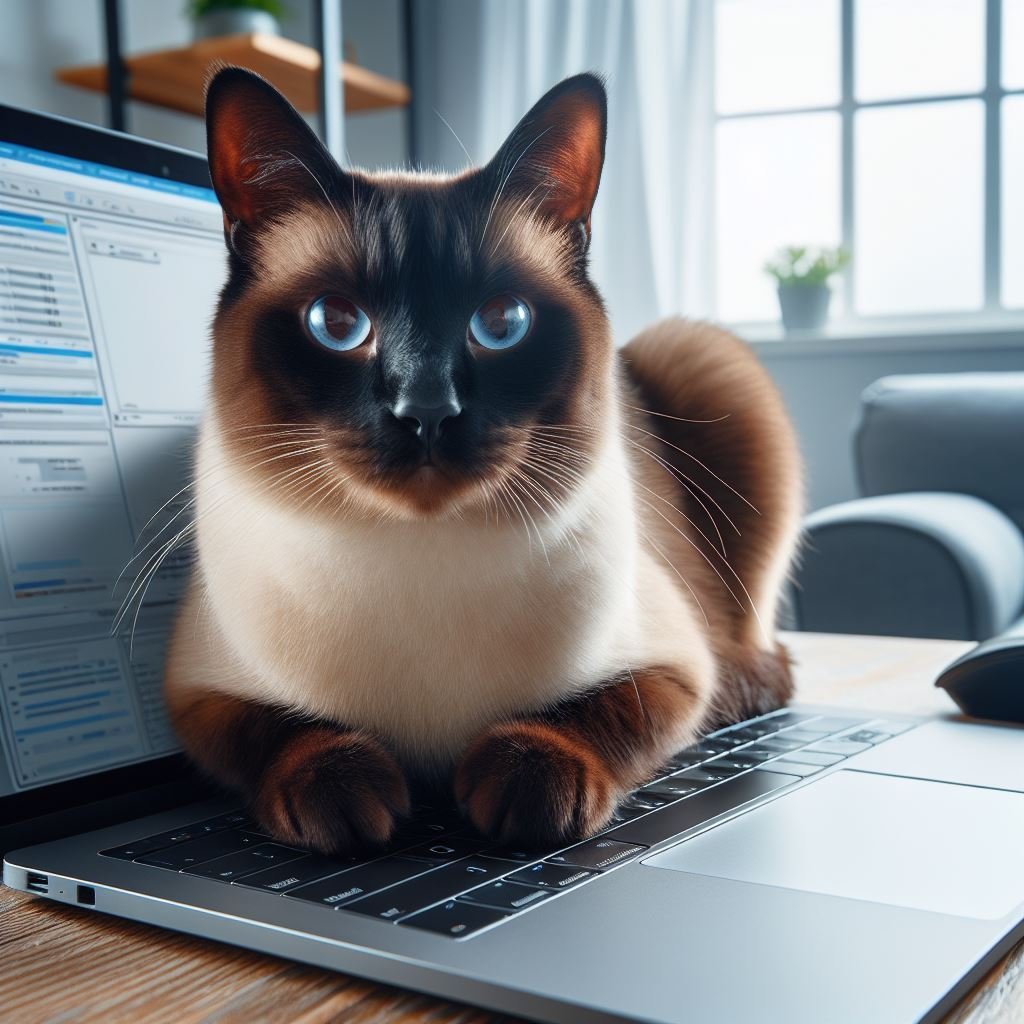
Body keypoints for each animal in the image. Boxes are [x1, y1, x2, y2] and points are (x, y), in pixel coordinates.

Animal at [163, 68, 802, 851]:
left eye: (501, 324)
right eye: (335, 324)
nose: (427, 411)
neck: (417, 561)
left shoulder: (676, 667)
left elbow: (595, 713)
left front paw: (526, 786)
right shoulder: (196, 694)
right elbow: (280, 732)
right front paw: (345, 799)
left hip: (712, 363)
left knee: (763, 655)